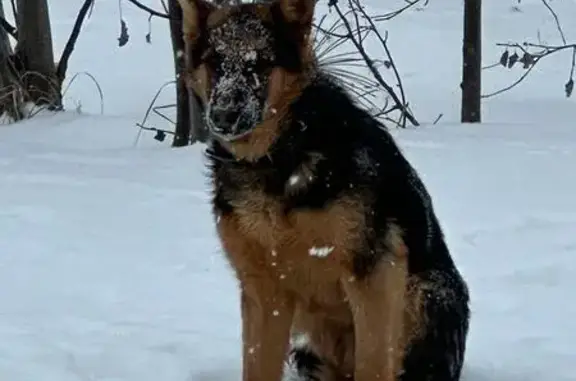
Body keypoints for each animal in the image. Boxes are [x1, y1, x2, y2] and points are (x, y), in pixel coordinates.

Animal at [178, 0, 470, 380]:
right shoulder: (263, 292)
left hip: (425, 296)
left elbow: (373, 364)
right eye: (214, 61)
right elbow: (257, 364)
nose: (224, 116)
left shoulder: (373, 275)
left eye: (262, 63)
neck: (278, 156)